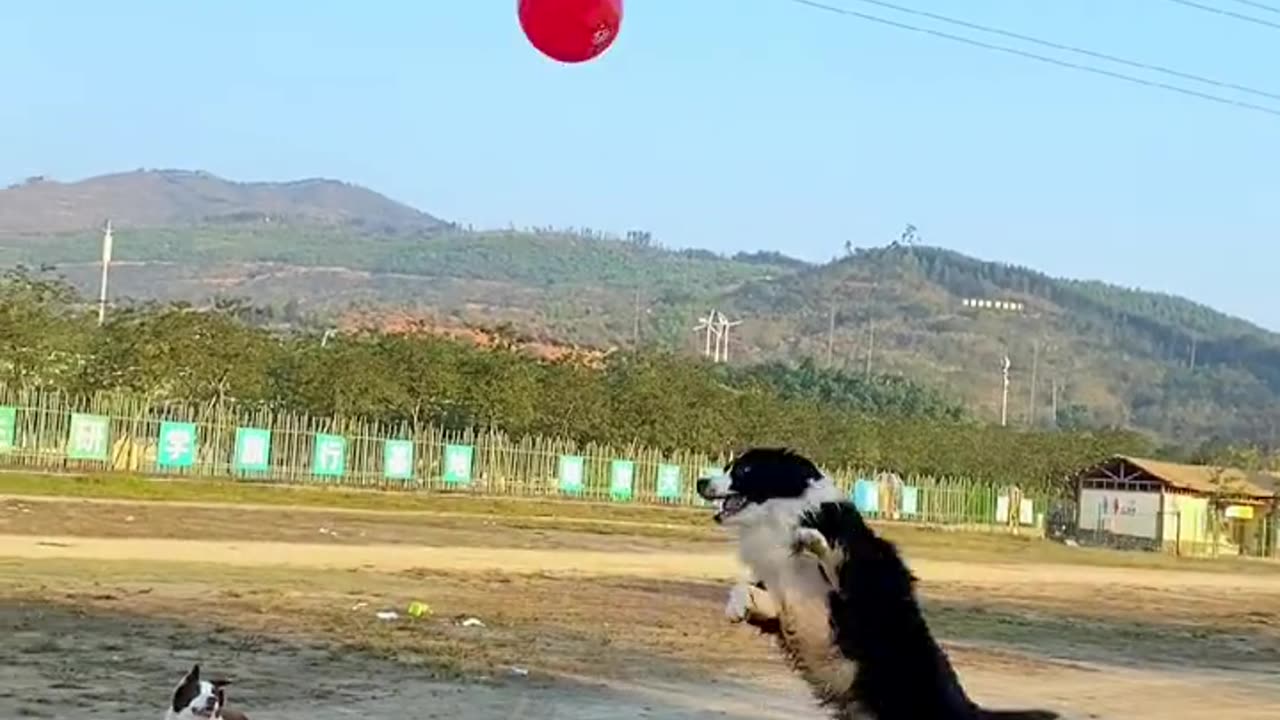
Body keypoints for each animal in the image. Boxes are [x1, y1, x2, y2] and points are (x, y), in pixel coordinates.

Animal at [701, 445, 1059, 717]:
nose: (701, 481)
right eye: (728, 466)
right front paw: (735, 607)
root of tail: (969, 709)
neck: (780, 517)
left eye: (744, 469)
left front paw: (811, 539)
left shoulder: (858, 585)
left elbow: (833, 555)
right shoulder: (785, 600)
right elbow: (746, 587)